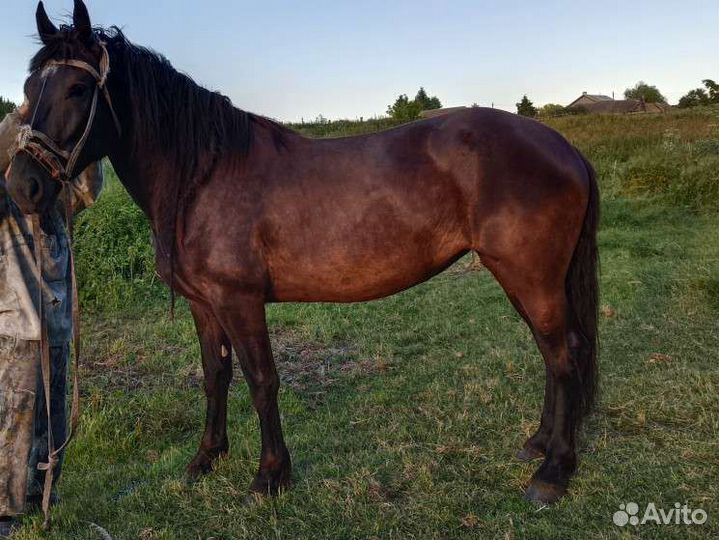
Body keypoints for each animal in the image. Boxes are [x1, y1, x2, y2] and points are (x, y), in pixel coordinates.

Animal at [6, 0, 599, 505]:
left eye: (78, 88)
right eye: (30, 86)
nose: (23, 186)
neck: (203, 175)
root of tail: (563, 147)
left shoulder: (240, 301)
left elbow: (261, 380)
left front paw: (270, 475)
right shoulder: (204, 304)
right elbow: (214, 376)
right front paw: (206, 459)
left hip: (530, 276)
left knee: (563, 354)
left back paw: (552, 472)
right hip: (522, 277)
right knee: (550, 353)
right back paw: (538, 444)